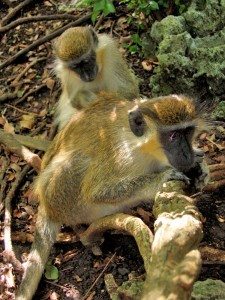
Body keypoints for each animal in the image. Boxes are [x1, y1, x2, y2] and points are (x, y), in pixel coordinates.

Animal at [15, 92, 206, 298]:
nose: (187, 154)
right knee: (79, 162)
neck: (141, 146)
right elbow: (98, 192)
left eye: (188, 132)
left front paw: (200, 164)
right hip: (64, 198)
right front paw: (162, 178)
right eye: (173, 136)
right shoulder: (119, 155)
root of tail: (47, 206)